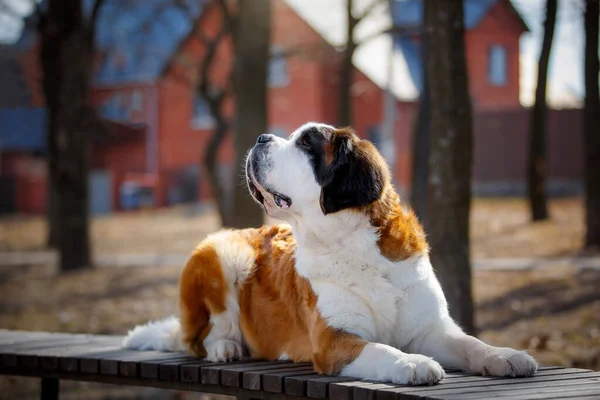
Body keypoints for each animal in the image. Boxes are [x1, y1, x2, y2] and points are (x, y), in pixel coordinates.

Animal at [124, 122, 536, 384]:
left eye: (307, 144)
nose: (261, 137)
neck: (349, 240)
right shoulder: (334, 340)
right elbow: (381, 350)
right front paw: (413, 363)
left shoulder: (430, 329)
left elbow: (470, 343)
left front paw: (506, 356)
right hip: (222, 251)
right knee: (203, 335)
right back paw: (226, 348)